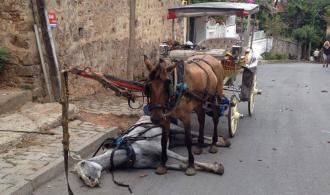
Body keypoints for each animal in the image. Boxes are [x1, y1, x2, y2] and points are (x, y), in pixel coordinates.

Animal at [75, 116, 229, 187]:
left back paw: (220, 141)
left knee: (192, 133)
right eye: (80, 177)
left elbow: (184, 159)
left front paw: (216, 167)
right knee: (187, 140)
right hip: (172, 139)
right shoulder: (154, 164)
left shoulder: (159, 148)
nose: (90, 183)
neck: (130, 151)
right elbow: (180, 165)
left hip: (174, 128)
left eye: (83, 168)